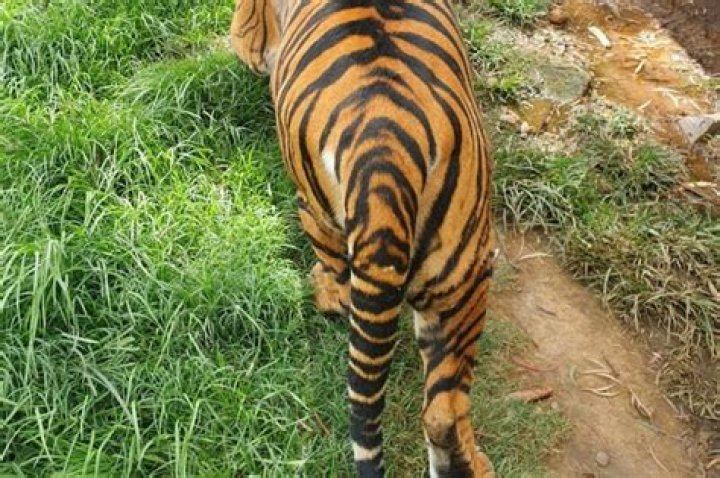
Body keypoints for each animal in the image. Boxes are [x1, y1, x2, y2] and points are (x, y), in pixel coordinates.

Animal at [230, 1, 495, 476]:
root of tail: (385, 160)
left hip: (319, 209)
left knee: (339, 280)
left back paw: (322, 290)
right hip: (462, 279)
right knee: (444, 409)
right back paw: (476, 464)